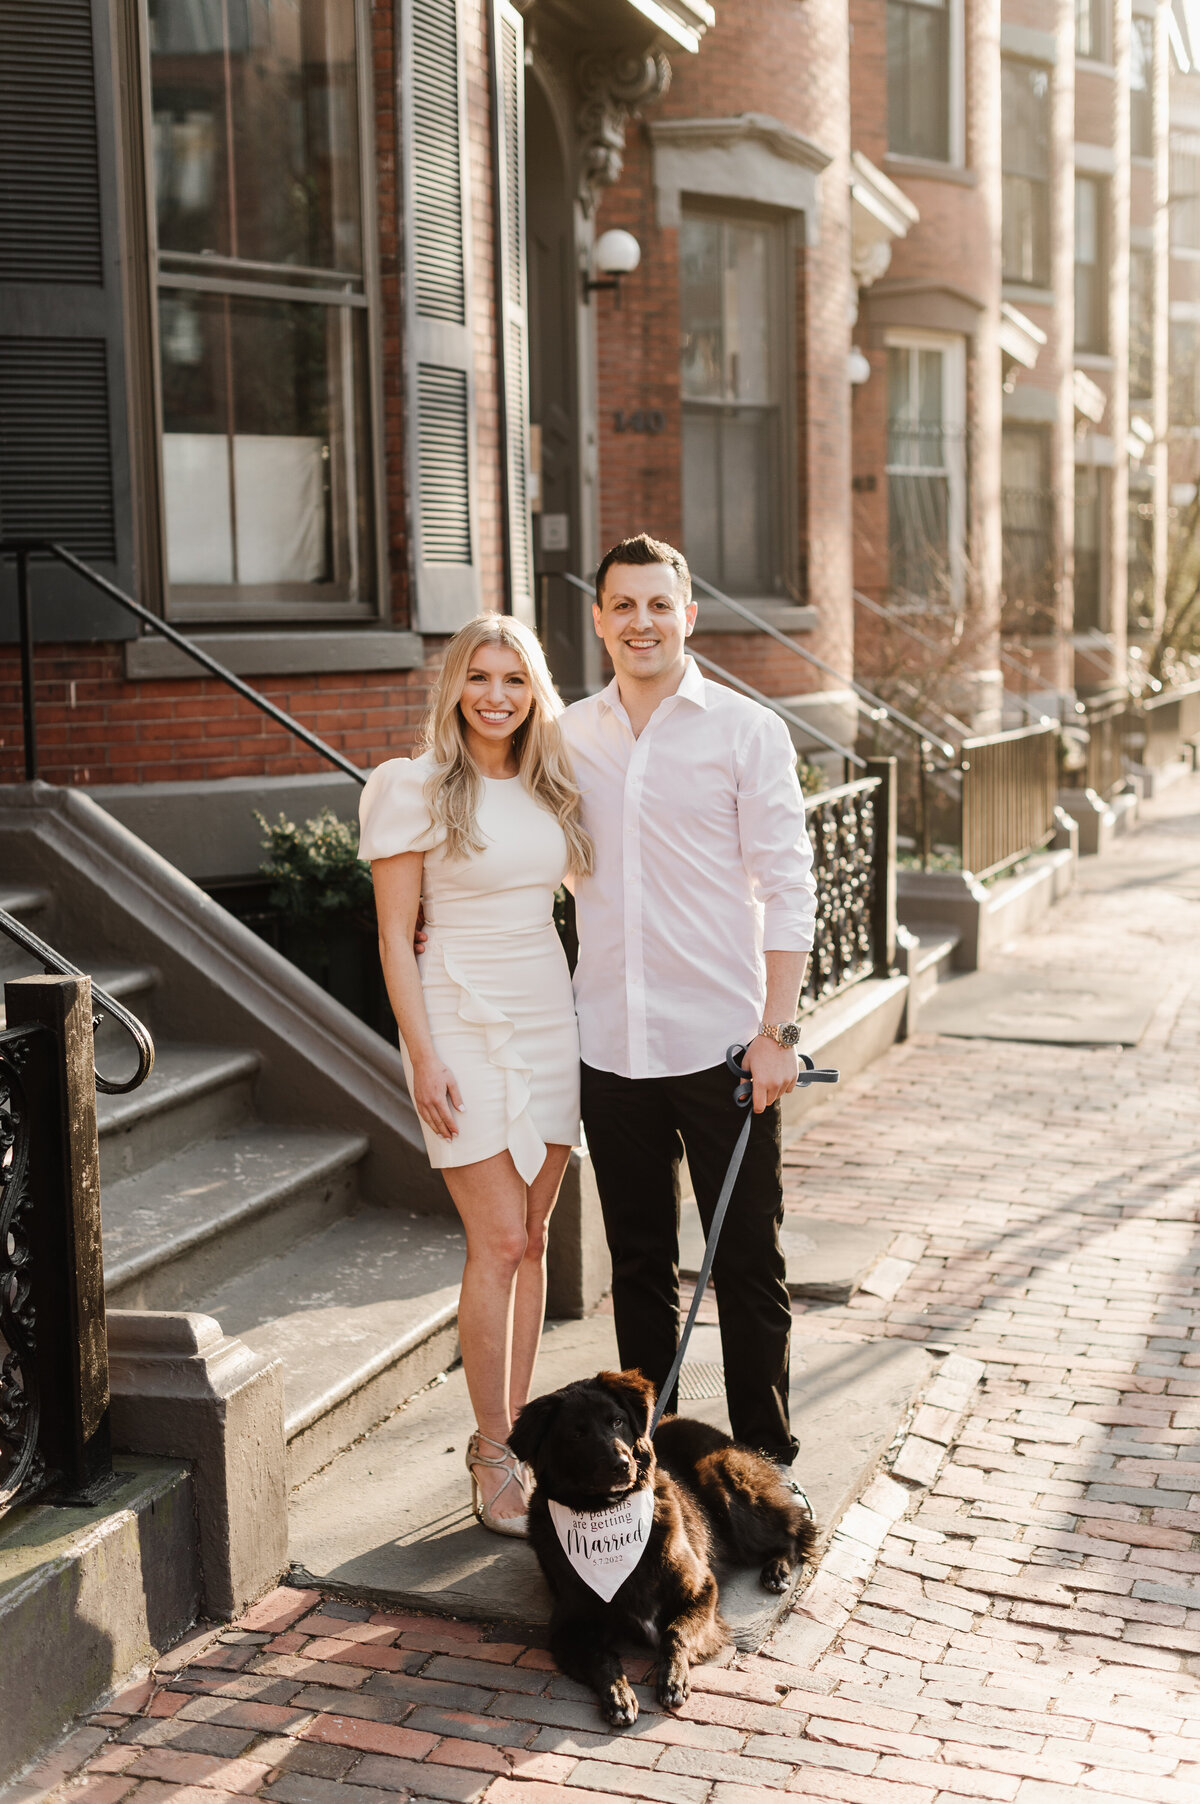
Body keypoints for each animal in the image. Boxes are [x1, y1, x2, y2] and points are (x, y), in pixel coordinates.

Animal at [505, 1371, 815, 1724]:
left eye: (617, 1421)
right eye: (576, 1433)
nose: (621, 1464)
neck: (607, 1512)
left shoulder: (701, 1587)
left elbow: (674, 1632)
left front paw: (672, 1679)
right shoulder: (567, 1626)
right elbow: (602, 1658)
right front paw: (618, 1695)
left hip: (729, 1492)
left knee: (793, 1532)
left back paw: (776, 1570)